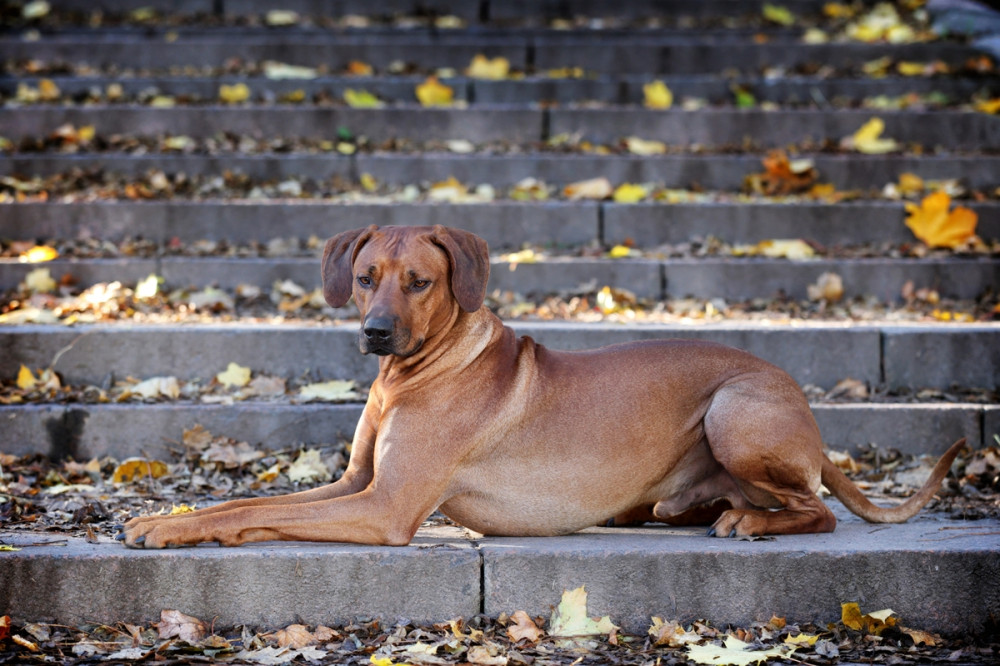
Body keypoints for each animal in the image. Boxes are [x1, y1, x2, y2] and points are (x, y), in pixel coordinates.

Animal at [119, 226, 968, 548]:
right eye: (365, 278)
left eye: (420, 281)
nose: (376, 334)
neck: (416, 373)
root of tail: (805, 414)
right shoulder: (357, 482)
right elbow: (245, 502)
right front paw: (167, 518)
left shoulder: (385, 506)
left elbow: (257, 514)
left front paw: (174, 531)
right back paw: (701, 509)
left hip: (735, 409)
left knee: (817, 509)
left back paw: (750, 522)